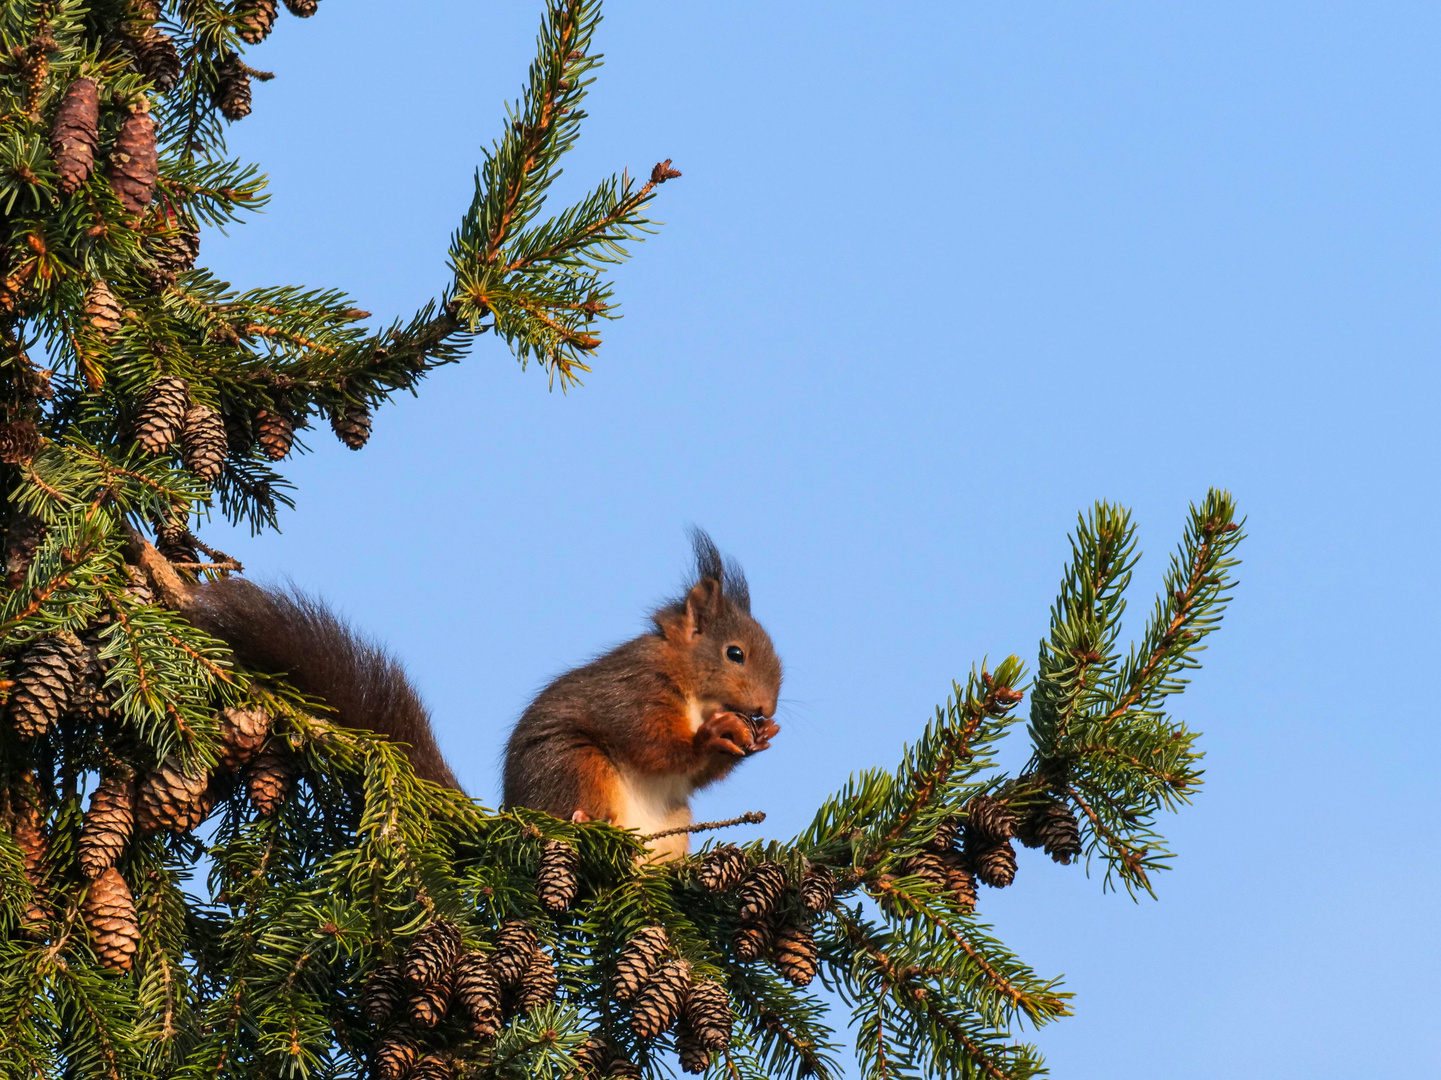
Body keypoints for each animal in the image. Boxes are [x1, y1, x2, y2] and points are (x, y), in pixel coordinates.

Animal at [157, 527, 778, 853]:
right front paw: (717, 736)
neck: (689, 688)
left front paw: (760, 737)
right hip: (575, 766)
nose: (766, 707)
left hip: (674, 823)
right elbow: (655, 746)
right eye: (735, 653)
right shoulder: (636, 693)